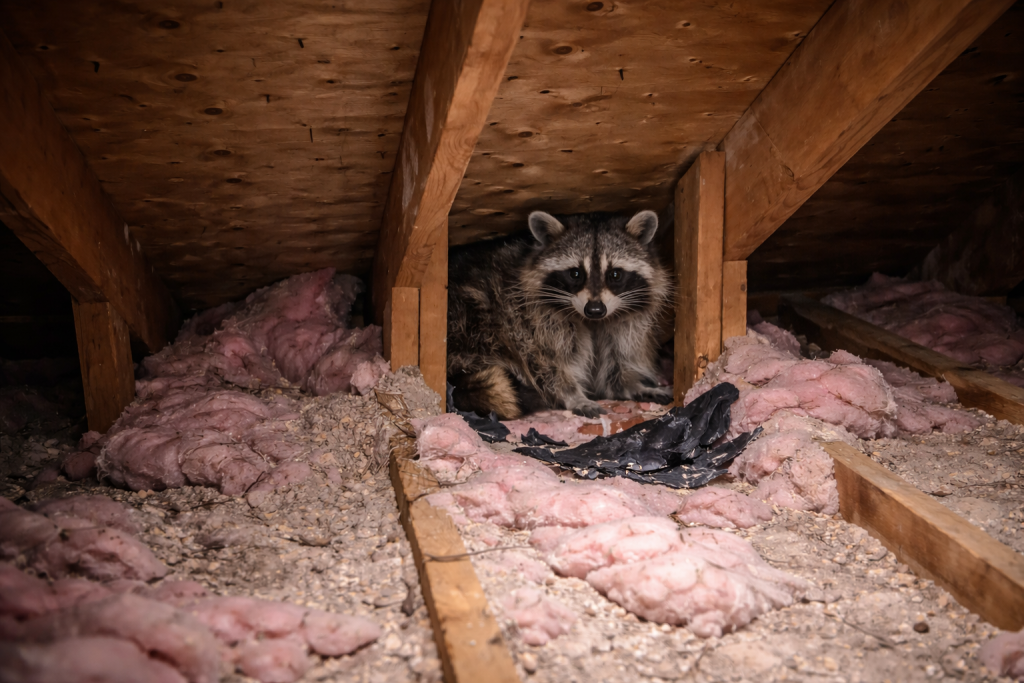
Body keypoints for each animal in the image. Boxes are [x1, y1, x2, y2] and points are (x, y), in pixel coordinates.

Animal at [447, 209, 673, 420]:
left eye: (615, 274)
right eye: (575, 273)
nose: (595, 310)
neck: (592, 322)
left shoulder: (622, 323)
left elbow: (616, 363)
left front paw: (632, 386)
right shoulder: (525, 317)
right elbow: (547, 361)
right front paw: (573, 394)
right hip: (470, 321)